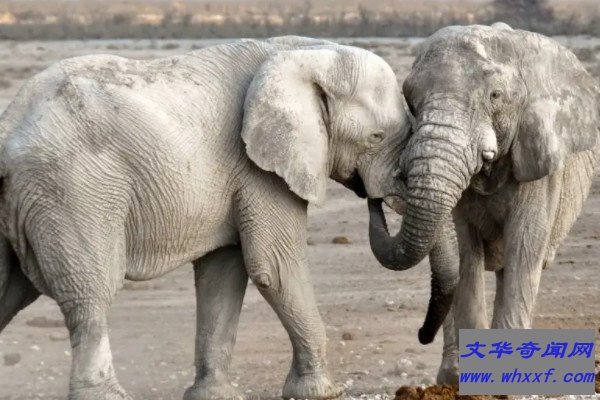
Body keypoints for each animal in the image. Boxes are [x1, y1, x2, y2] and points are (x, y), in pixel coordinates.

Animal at [0, 36, 456, 400]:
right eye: (376, 137)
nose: (374, 199)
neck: (306, 51)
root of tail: (8, 130)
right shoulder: (258, 167)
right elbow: (275, 266)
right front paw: (319, 392)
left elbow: (224, 274)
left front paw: (214, 396)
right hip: (74, 191)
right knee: (90, 293)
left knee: (10, 291)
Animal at [367, 23, 600, 382]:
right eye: (410, 100)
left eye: (496, 96)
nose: (375, 197)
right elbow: (465, 251)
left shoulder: (539, 159)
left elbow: (525, 245)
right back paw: (450, 375)